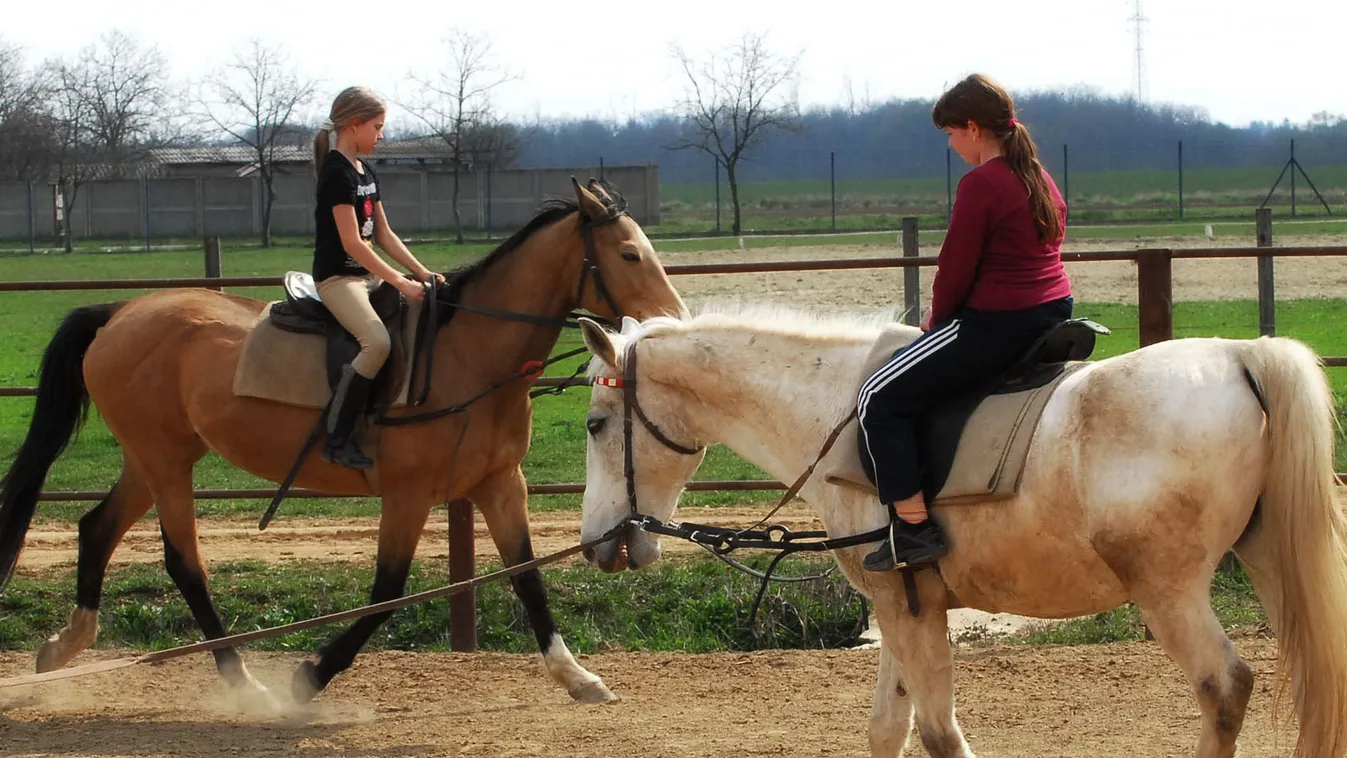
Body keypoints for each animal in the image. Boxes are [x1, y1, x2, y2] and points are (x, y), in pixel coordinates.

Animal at [0, 179, 689, 710]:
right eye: (630, 253)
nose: (673, 323)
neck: (468, 354)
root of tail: (121, 312)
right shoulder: (407, 495)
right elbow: (387, 592)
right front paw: (310, 676)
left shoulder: (499, 484)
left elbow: (527, 578)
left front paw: (577, 676)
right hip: (166, 461)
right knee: (183, 563)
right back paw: (242, 682)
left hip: (154, 458)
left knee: (95, 528)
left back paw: (64, 646)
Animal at [573, 304, 1347, 758]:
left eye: (595, 424)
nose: (595, 543)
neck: (837, 417)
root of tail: (1240, 356)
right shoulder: (900, 606)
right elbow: (889, 729)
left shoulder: (909, 611)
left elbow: (940, 735)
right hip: (1268, 564)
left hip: (1169, 592)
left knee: (1223, 687)